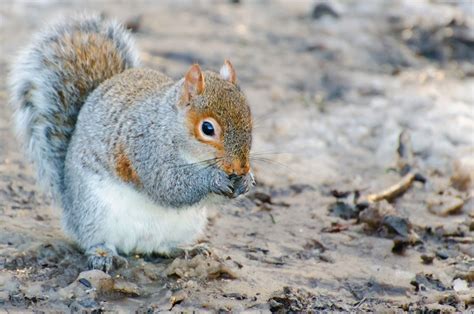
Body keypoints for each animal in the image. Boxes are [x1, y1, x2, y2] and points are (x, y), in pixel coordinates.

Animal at [8, 13, 256, 272]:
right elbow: (169, 184)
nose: (241, 167)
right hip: (95, 213)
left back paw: (188, 249)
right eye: (207, 129)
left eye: (250, 116)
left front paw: (247, 181)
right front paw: (213, 179)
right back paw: (103, 254)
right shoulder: (144, 148)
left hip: (188, 223)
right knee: (94, 240)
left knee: (163, 247)